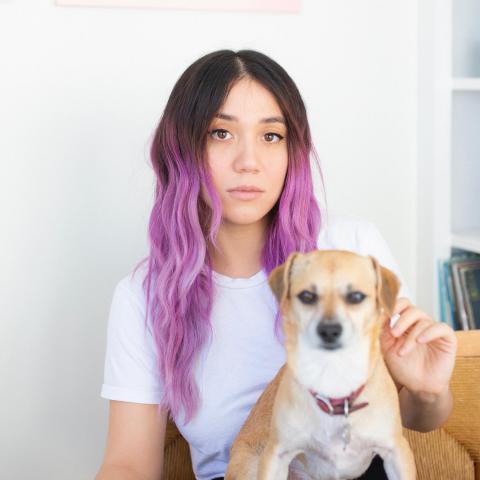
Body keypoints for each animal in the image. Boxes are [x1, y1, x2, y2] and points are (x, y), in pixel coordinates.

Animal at [225, 249, 416, 478]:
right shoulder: (275, 456)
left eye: (356, 297)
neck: (334, 377)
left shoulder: (396, 452)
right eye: (307, 296)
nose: (329, 330)